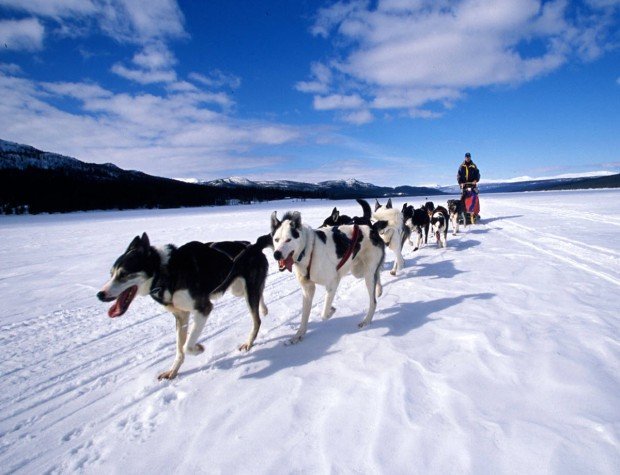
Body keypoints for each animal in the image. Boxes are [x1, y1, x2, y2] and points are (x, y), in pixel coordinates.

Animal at [97, 232, 268, 382]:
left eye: (124, 274)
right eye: (111, 274)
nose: (100, 294)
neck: (167, 272)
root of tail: (254, 246)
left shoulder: (203, 309)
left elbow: (186, 346)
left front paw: (199, 348)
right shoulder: (181, 316)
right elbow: (179, 349)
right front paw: (172, 372)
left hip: (246, 291)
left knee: (257, 319)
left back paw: (249, 342)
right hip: (238, 289)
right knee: (259, 294)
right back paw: (264, 308)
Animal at [270, 211, 382, 342]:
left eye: (288, 240)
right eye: (276, 239)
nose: (276, 254)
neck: (308, 250)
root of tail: (372, 229)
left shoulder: (333, 282)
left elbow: (324, 313)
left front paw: (331, 311)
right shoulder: (307, 289)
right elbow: (304, 316)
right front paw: (299, 335)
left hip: (367, 275)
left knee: (373, 302)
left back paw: (366, 320)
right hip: (358, 271)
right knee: (377, 273)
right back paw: (379, 289)